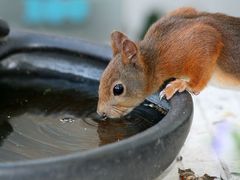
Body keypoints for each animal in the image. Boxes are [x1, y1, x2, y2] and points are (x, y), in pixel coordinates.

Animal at [97, 7, 240, 119]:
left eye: (118, 89)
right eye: (102, 78)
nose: (100, 113)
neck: (156, 60)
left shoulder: (201, 41)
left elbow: (199, 77)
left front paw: (183, 85)